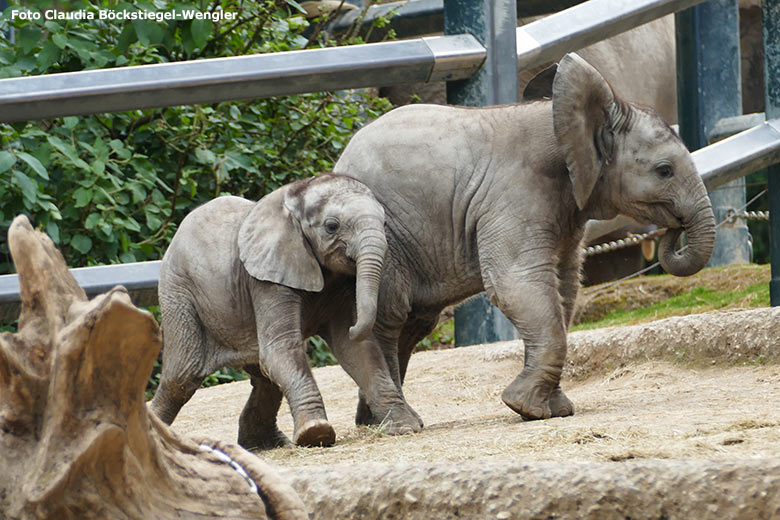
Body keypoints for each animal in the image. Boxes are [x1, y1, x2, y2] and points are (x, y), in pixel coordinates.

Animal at [148, 173, 396, 448]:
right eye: (331, 226)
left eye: (385, 223)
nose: (355, 325)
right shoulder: (267, 278)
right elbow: (282, 347)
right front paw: (316, 434)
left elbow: (354, 349)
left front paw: (404, 425)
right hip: (178, 291)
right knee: (182, 376)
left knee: (263, 378)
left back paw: (262, 444)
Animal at [332, 52, 716, 430]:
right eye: (664, 170)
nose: (674, 229)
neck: (561, 122)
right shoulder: (515, 194)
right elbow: (517, 283)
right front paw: (524, 407)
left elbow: (563, 286)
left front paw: (554, 409)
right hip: (384, 235)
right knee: (390, 315)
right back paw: (393, 423)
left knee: (414, 322)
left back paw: (370, 422)